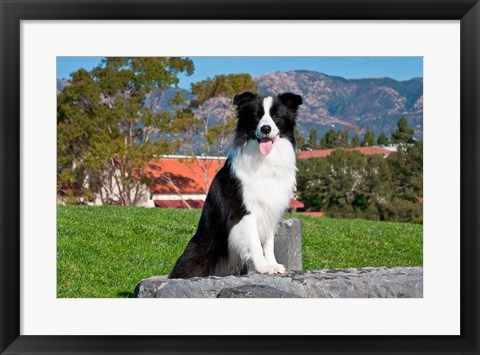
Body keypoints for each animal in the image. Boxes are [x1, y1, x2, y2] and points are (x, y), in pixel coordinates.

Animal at [169, 92, 302, 280]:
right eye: (256, 116)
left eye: (276, 116)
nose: (266, 129)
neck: (264, 160)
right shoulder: (243, 211)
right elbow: (255, 242)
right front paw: (263, 267)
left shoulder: (270, 210)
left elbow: (268, 243)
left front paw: (272, 264)